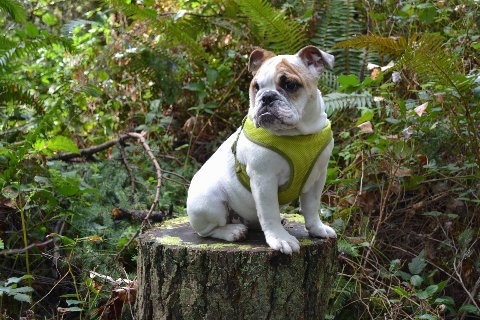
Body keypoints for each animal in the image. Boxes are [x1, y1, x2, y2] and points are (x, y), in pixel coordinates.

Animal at [186, 45, 336, 255]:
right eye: (256, 87)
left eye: (290, 85)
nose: (266, 96)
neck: (296, 135)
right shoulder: (264, 180)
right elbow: (269, 212)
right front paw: (280, 238)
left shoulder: (317, 177)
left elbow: (312, 207)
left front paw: (317, 229)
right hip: (209, 201)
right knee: (207, 231)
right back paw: (232, 231)